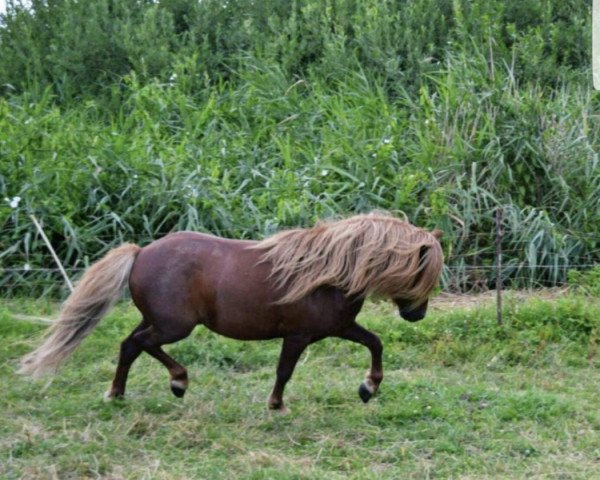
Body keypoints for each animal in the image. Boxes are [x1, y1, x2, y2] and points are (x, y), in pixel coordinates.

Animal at [19, 212, 440, 410]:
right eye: (424, 273)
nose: (416, 316)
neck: (328, 273)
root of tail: (141, 252)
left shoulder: (340, 327)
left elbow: (376, 344)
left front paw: (368, 388)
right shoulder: (299, 335)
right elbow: (284, 371)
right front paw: (276, 405)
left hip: (155, 320)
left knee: (128, 345)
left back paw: (118, 394)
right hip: (173, 326)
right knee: (142, 345)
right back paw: (178, 381)